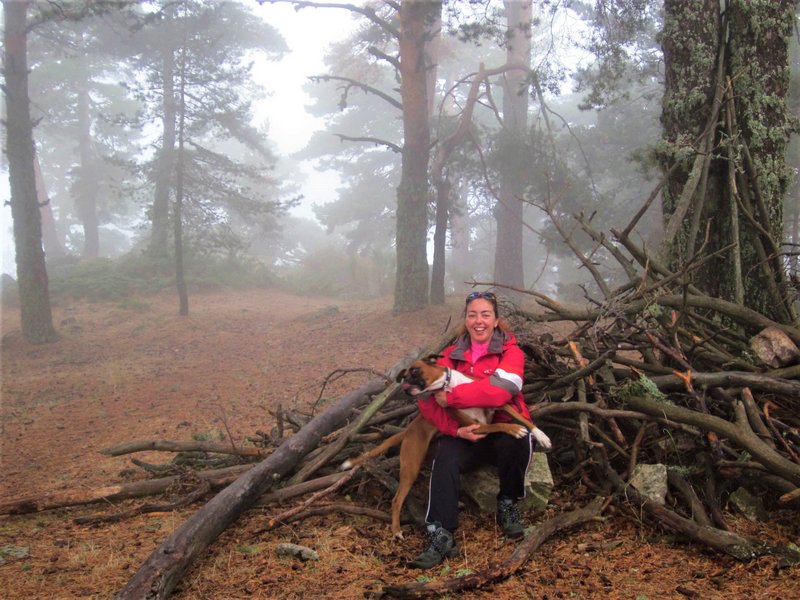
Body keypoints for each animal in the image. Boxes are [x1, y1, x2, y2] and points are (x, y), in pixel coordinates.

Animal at [338, 356, 552, 540]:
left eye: (414, 371)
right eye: (403, 377)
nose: (405, 387)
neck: (450, 386)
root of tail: (407, 430)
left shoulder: (497, 404)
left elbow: (523, 418)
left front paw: (542, 436)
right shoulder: (475, 426)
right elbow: (500, 425)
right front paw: (514, 429)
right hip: (411, 467)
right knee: (396, 500)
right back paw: (396, 530)